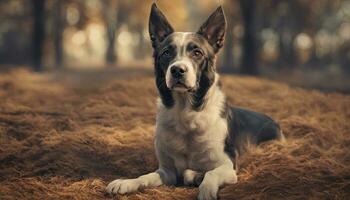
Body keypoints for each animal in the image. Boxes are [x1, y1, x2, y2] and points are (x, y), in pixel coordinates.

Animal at [105, 3, 284, 200]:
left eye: (197, 53)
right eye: (166, 53)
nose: (177, 70)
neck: (186, 111)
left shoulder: (229, 166)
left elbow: (211, 173)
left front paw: (206, 189)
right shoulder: (167, 171)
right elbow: (147, 176)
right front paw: (126, 183)